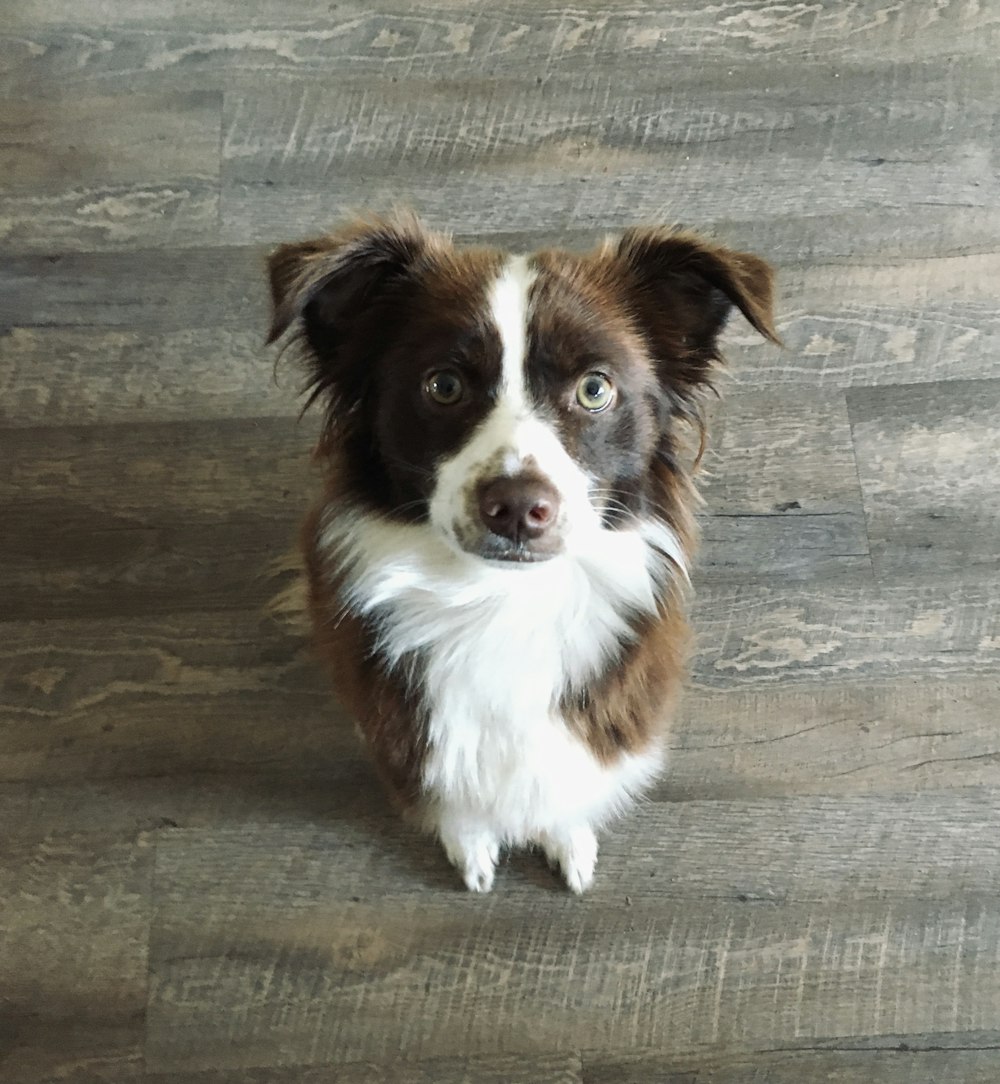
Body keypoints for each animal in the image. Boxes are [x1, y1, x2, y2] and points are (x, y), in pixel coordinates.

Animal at [267, 213, 780, 897]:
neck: (503, 600)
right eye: (443, 385)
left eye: (595, 389)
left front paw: (567, 838)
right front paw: (472, 845)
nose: (515, 507)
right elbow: (457, 794)